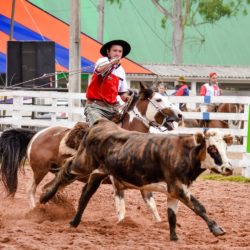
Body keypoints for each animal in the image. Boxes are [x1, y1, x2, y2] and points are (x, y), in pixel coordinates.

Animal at [0, 83, 183, 222]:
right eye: (159, 99)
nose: (180, 115)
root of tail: (37, 134)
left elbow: (152, 207)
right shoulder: (115, 181)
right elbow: (121, 209)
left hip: (63, 174)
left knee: (48, 188)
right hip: (40, 169)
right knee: (31, 189)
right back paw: (35, 212)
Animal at [49, 120, 234, 241]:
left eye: (225, 148)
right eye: (212, 149)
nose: (229, 168)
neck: (183, 152)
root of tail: (101, 123)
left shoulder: (173, 192)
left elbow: (172, 215)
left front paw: (174, 237)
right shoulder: (178, 188)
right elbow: (199, 207)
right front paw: (216, 229)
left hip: (98, 173)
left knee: (85, 196)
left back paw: (74, 222)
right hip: (83, 164)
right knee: (66, 168)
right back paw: (46, 196)